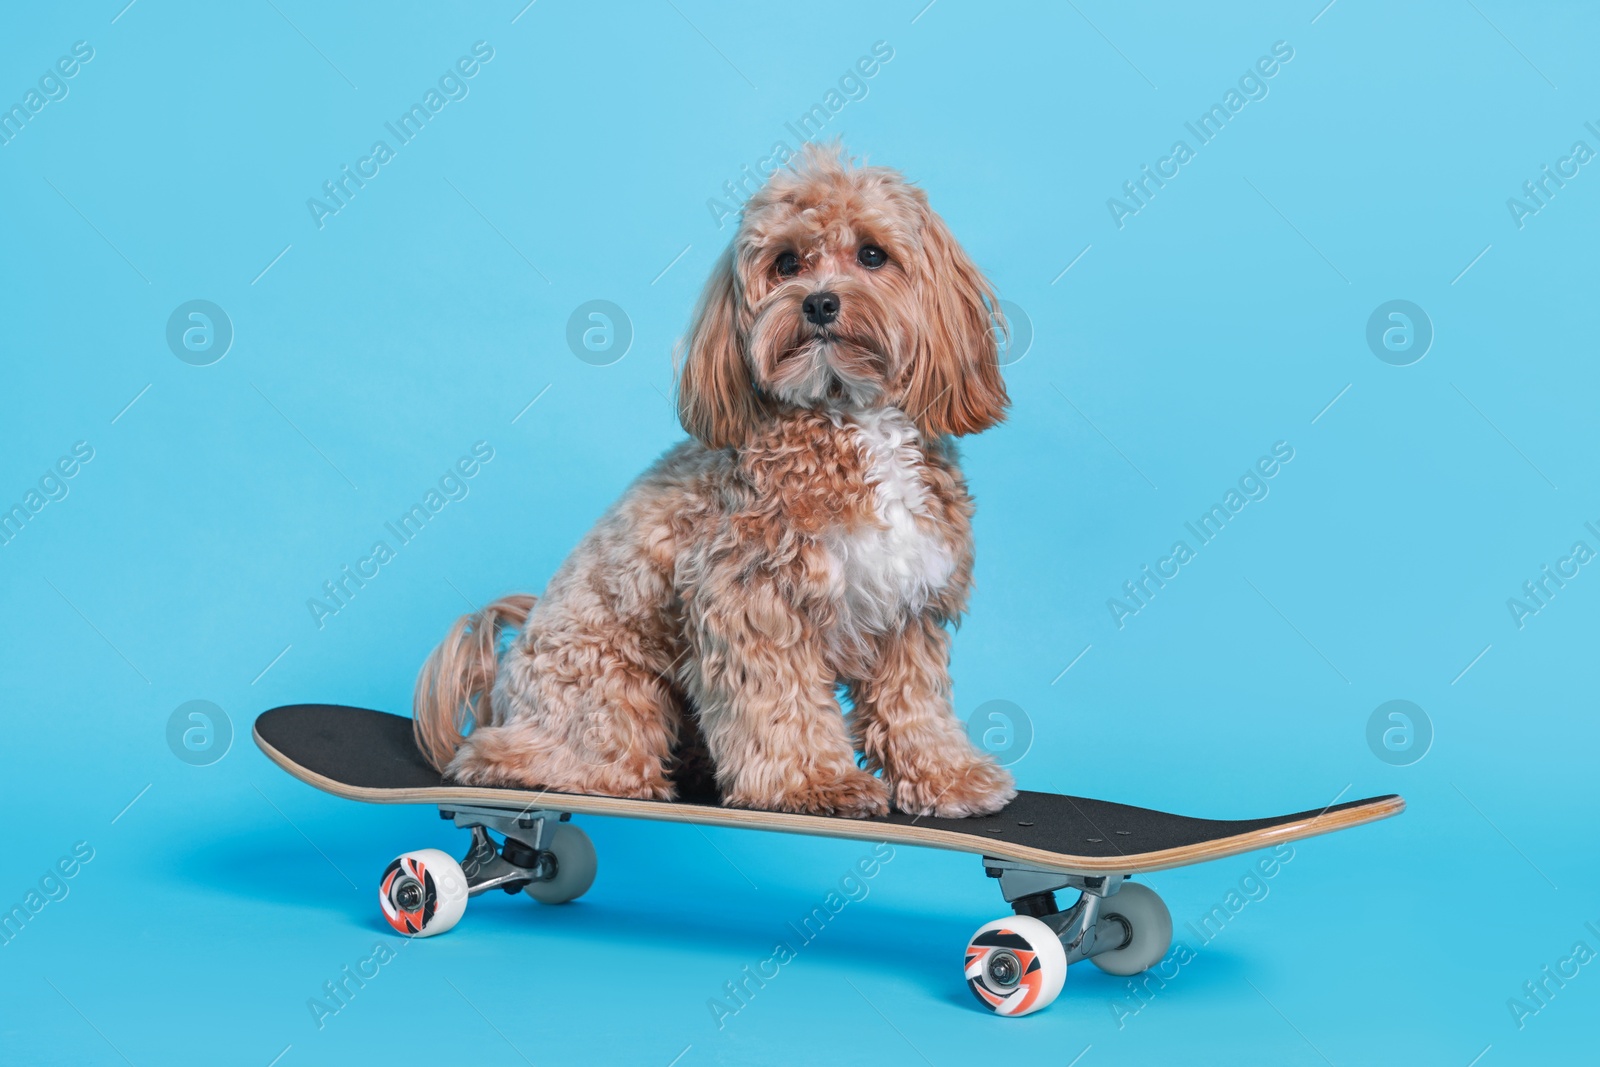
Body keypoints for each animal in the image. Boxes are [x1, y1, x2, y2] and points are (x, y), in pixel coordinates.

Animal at [412, 146, 1011, 819]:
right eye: (786, 263)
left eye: (873, 254)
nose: (819, 303)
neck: (849, 417)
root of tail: (500, 691)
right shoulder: (751, 601)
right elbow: (782, 706)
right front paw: (814, 784)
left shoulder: (908, 608)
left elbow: (915, 705)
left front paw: (948, 776)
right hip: (610, 693)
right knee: (525, 756)